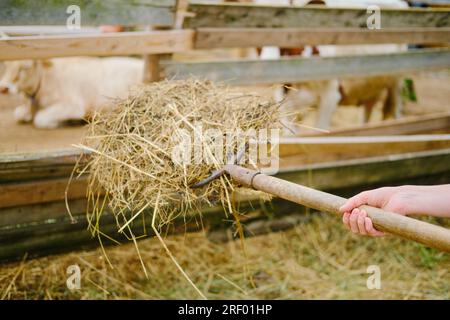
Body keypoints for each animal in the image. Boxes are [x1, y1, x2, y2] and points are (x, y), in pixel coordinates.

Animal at [0, 57, 142, 129]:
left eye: (25, 67)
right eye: (6, 65)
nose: (4, 88)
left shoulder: (73, 106)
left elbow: (39, 119)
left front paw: (61, 123)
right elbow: (18, 113)